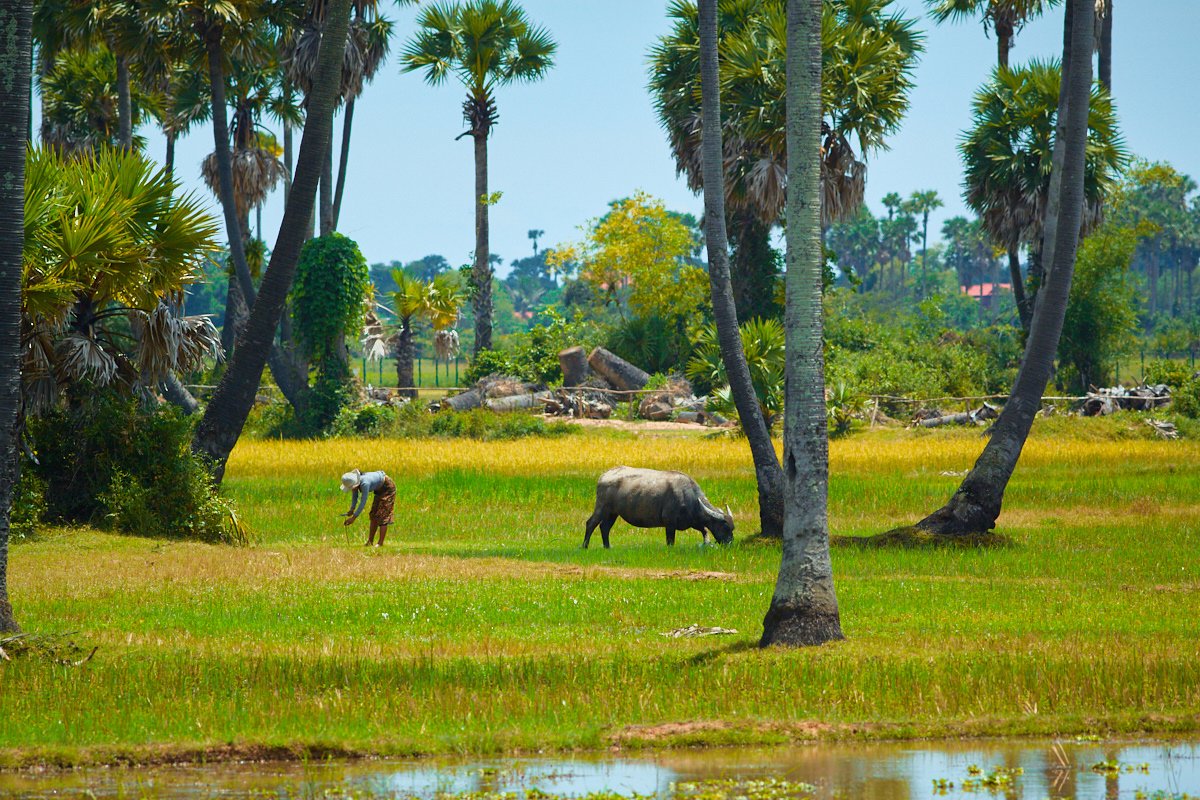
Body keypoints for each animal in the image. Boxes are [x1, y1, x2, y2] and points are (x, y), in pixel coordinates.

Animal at [580, 465, 729, 546]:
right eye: (724, 526)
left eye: (731, 528)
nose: (730, 543)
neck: (689, 497)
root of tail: (604, 475)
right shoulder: (670, 524)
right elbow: (670, 541)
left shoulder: (693, 522)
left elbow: (704, 530)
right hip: (602, 507)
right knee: (591, 523)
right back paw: (584, 546)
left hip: (613, 513)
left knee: (604, 527)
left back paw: (607, 546)